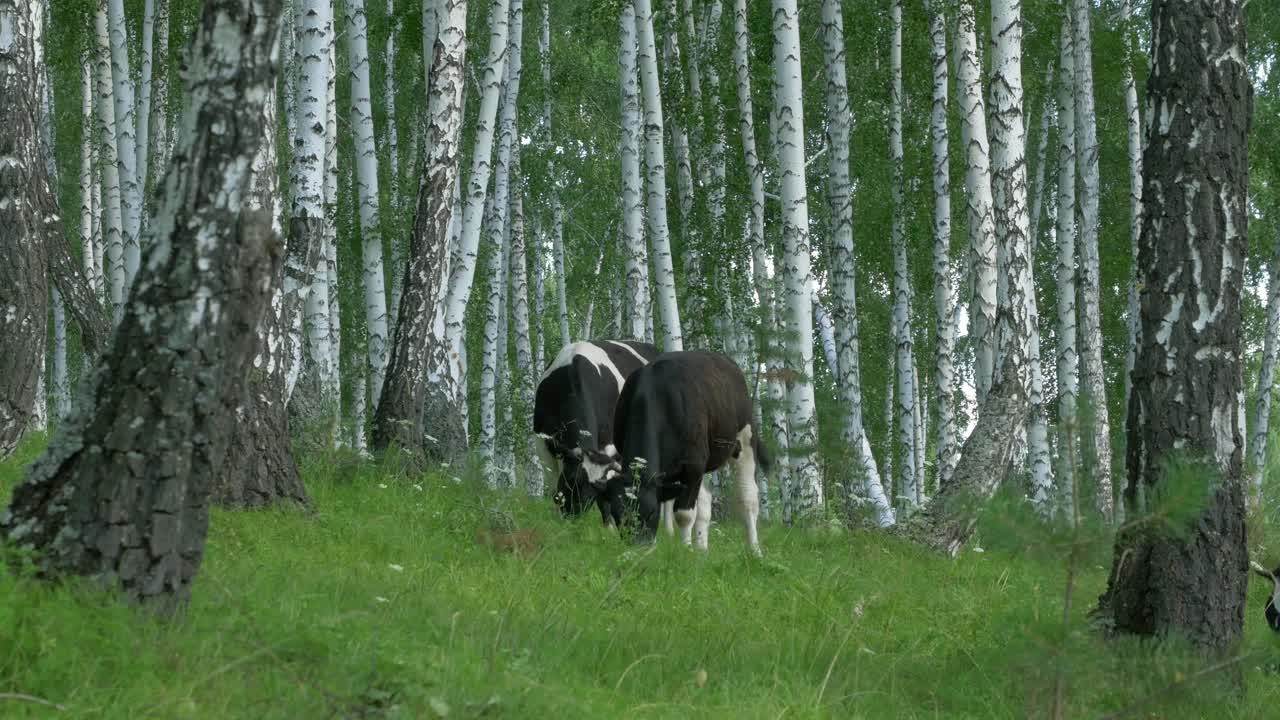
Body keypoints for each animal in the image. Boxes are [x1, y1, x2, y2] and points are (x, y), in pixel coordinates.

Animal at [597, 350, 768, 554]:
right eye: (618, 515)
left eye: (652, 512)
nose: (639, 549)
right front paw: (693, 551)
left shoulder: (693, 466)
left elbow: (684, 514)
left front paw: (686, 551)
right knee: (705, 502)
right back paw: (702, 549)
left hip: (745, 438)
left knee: (748, 497)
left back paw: (755, 550)